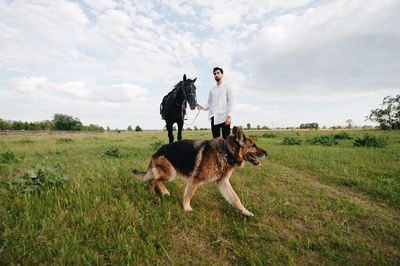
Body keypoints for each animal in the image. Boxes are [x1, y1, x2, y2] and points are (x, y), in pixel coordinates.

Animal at [133, 126, 268, 216]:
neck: (226, 151)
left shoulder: (223, 182)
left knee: (156, 180)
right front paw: (186, 208)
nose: (267, 153)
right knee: (152, 180)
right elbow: (188, 195)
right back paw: (152, 195)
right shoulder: (196, 180)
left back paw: (164, 192)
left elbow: (235, 198)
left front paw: (245, 211)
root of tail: (156, 152)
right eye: (253, 145)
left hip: (170, 173)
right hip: (171, 173)